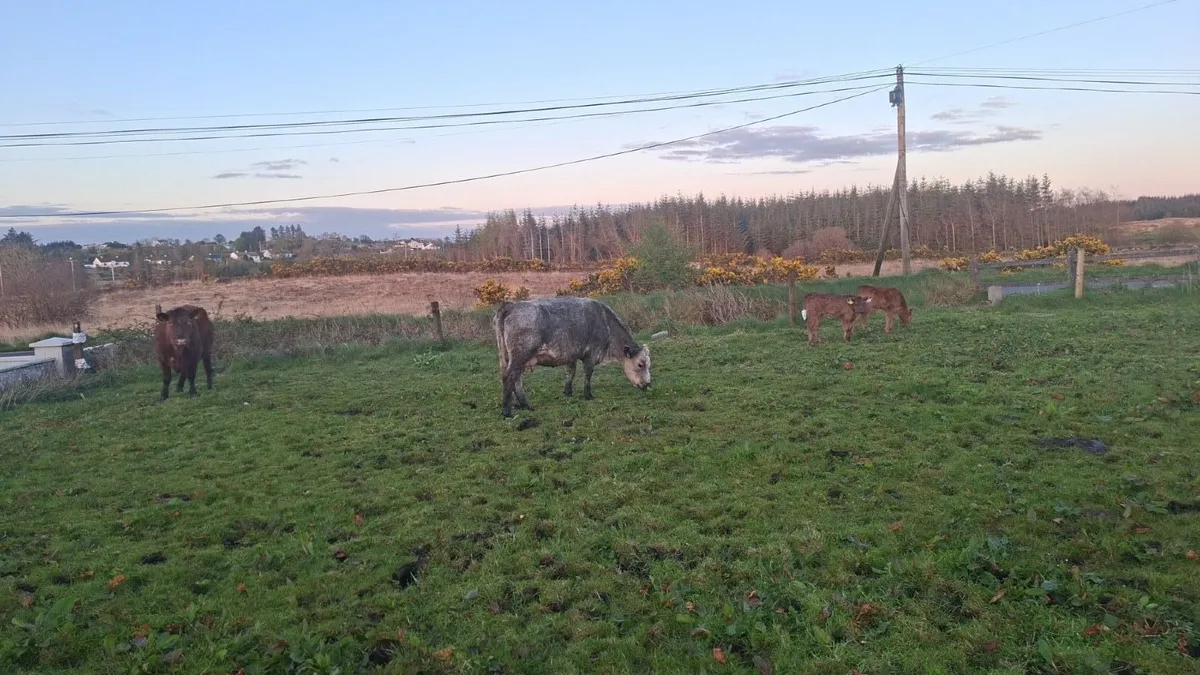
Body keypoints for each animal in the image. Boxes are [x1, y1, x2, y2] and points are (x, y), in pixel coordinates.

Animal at [492, 296, 651, 417]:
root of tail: (511, 305)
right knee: (509, 376)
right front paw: (588, 395)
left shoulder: (571, 355)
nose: (647, 384)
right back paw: (507, 411)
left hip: (510, 357)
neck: (605, 323)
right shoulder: (591, 354)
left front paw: (567, 392)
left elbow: (570, 373)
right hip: (520, 355)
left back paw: (525, 405)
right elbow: (587, 375)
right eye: (640, 364)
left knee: (515, 379)